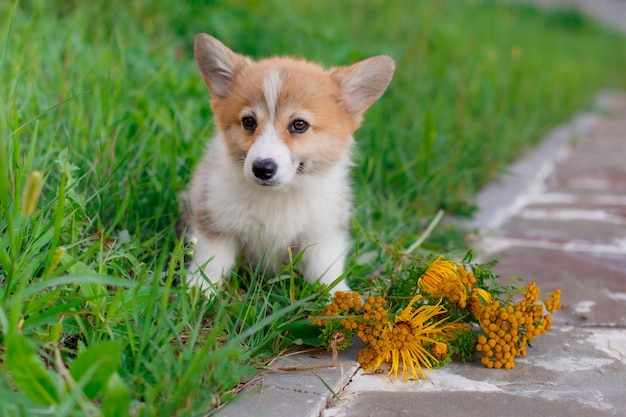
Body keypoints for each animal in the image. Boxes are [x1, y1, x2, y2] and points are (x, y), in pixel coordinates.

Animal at [183, 34, 392, 294]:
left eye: (299, 124)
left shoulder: (322, 234)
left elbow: (327, 272)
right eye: (249, 121)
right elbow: (210, 262)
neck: (278, 197)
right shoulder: (215, 222)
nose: (263, 168)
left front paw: (340, 297)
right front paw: (198, 291)